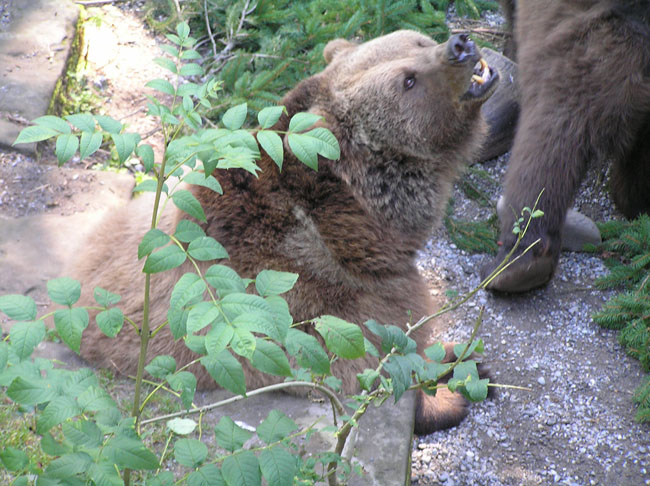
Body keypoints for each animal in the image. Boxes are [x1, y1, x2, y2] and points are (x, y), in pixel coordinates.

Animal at [72, 30, 496, 432]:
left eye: (418, 42)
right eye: (408, 80)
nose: (459, 45)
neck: (359, 229)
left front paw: (465, 357)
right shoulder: (323, 309)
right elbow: (380, 361)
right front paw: (456, 387)